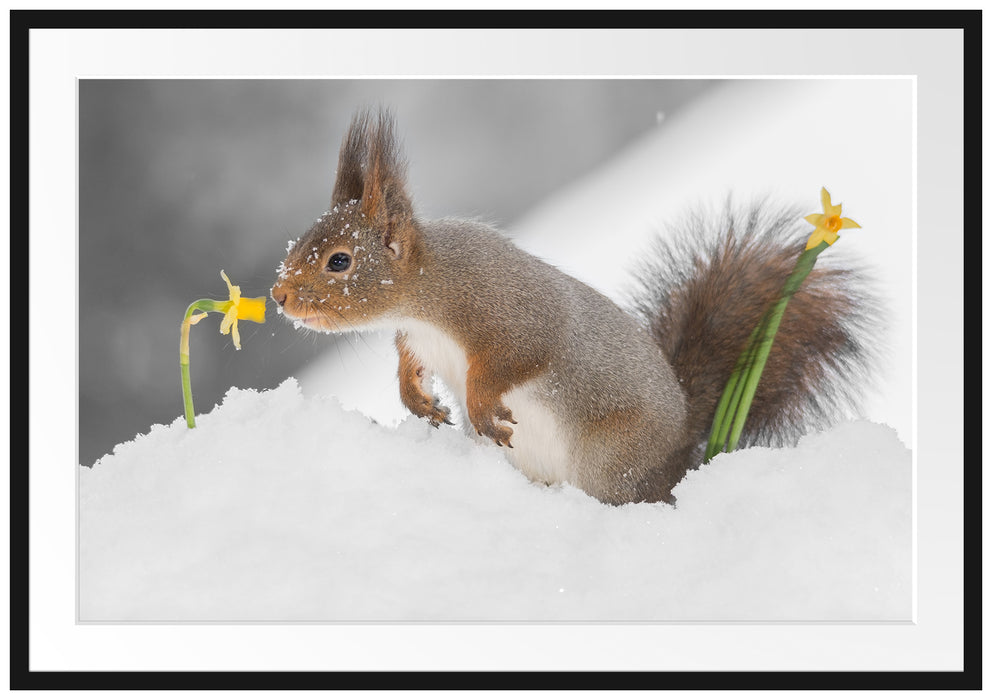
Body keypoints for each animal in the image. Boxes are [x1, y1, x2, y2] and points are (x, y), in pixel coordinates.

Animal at [271, 108, 878, 506]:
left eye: (340, 262)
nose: (279, 297)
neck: (426, 293)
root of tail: (683, 447)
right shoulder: (417, 339)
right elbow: (409, 365)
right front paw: (418, 400)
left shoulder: (511, 314)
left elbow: (516, 359)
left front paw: (481, 405)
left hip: (611, 462)